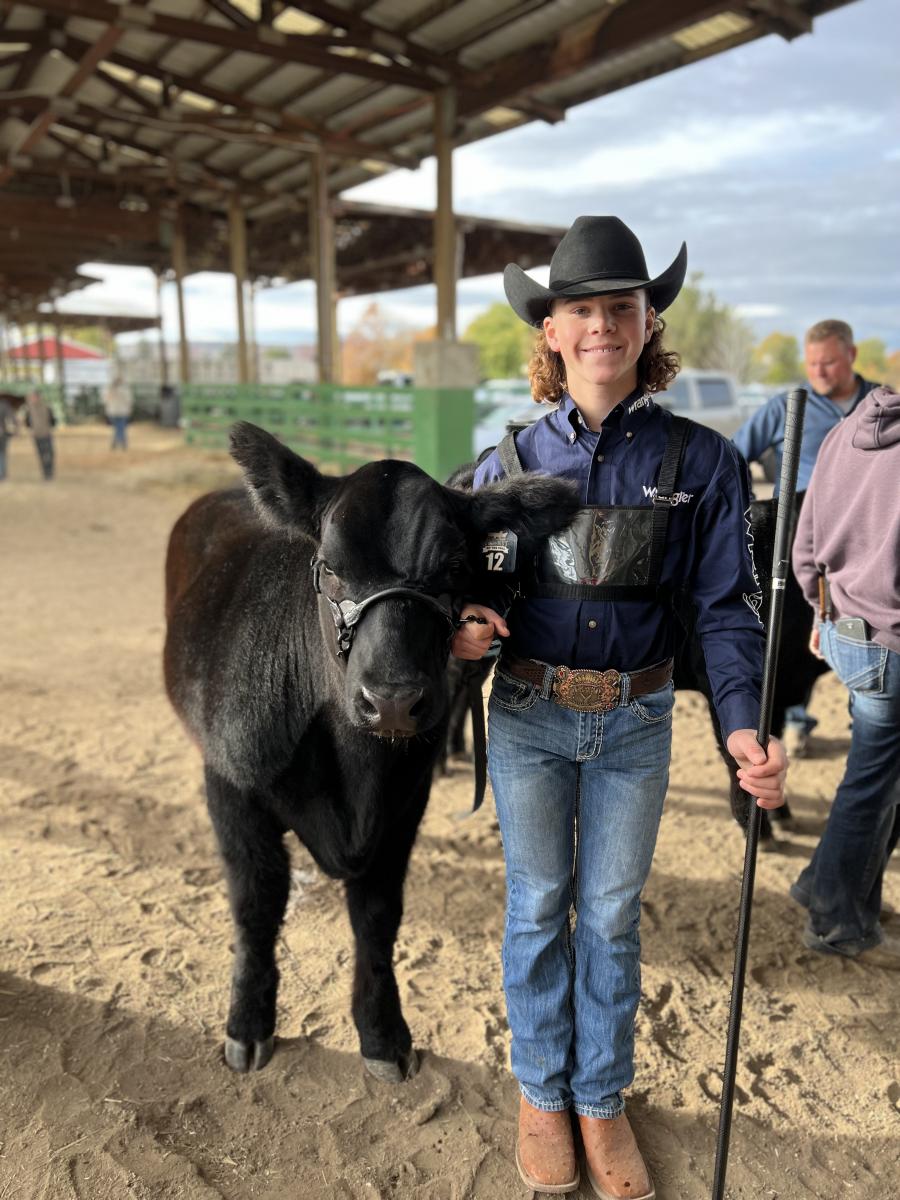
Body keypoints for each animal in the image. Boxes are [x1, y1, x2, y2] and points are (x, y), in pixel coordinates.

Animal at [163, 422, 580, 1079]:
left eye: (454, 564)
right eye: (329, 566)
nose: (391, 701)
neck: (353, 780)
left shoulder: (404, 807)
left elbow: (379, 916)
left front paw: (383, 1034)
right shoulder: (232, 785)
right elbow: (256, 905)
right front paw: (248, 1023)